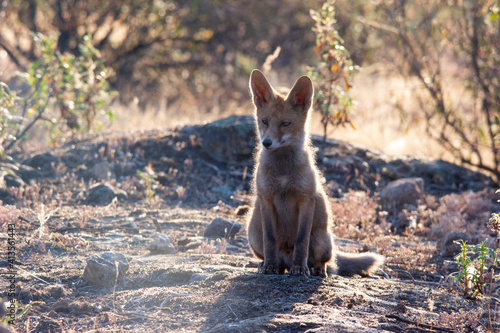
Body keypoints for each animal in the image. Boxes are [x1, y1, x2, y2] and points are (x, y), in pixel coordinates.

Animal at [246, 70, 382, 278]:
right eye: (264, 121)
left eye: (285, 123)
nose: (267, 143)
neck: (283, 173)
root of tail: (285, 259)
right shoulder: (266, 198)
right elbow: (270, 239)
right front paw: (269, 266)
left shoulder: (306, 199)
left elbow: (301, 241)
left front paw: (300, 268)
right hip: (253, 232)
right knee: (276, 258)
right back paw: (269, 265)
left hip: (322, 239)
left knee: (327, 263)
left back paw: (315, 269)